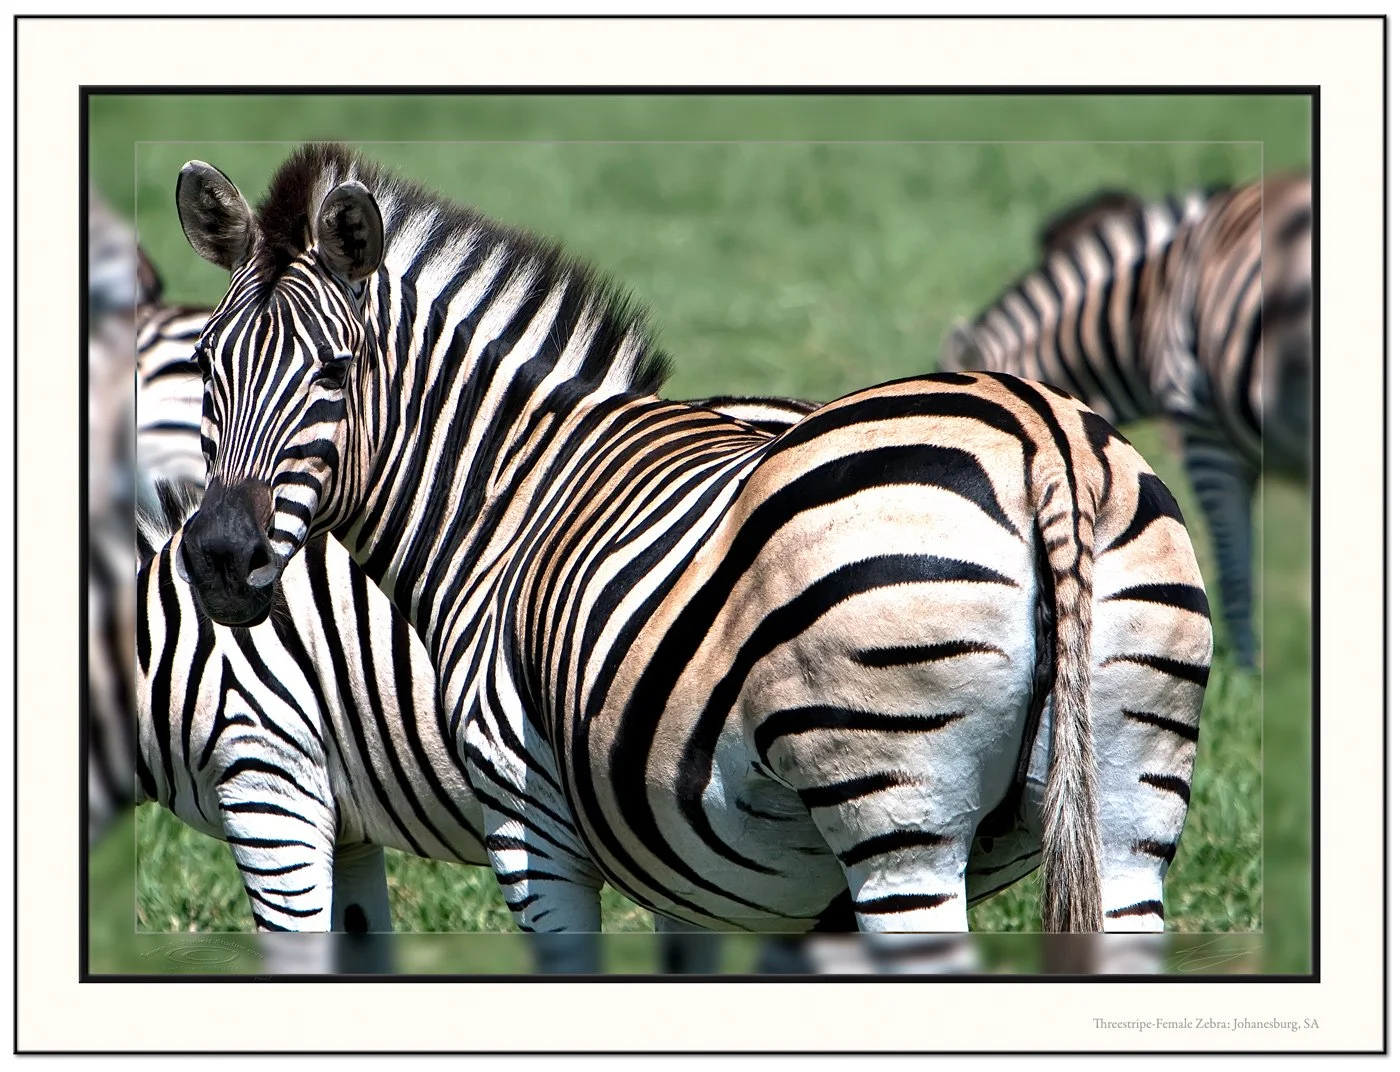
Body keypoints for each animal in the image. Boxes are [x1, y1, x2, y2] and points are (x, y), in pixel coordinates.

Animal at [170, 143, 1211, 940]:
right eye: (205, 364)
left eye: (335, 373)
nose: (218, 559)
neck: (510, 494)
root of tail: (1042, 437)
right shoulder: (738, 876)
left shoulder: (529, 820)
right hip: (1128, 805)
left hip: (897, 811)